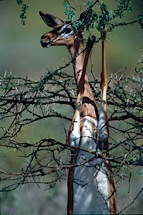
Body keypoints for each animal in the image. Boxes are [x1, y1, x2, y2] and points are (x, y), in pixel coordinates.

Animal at [39, 9, 116, 214]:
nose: (44, 38)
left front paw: (99, 30)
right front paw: (91, 39)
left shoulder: (103, 137)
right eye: (56, 26)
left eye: (67, 28)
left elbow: (102, 80)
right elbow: (82, 88)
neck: (88, 116)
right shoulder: (73, 140)